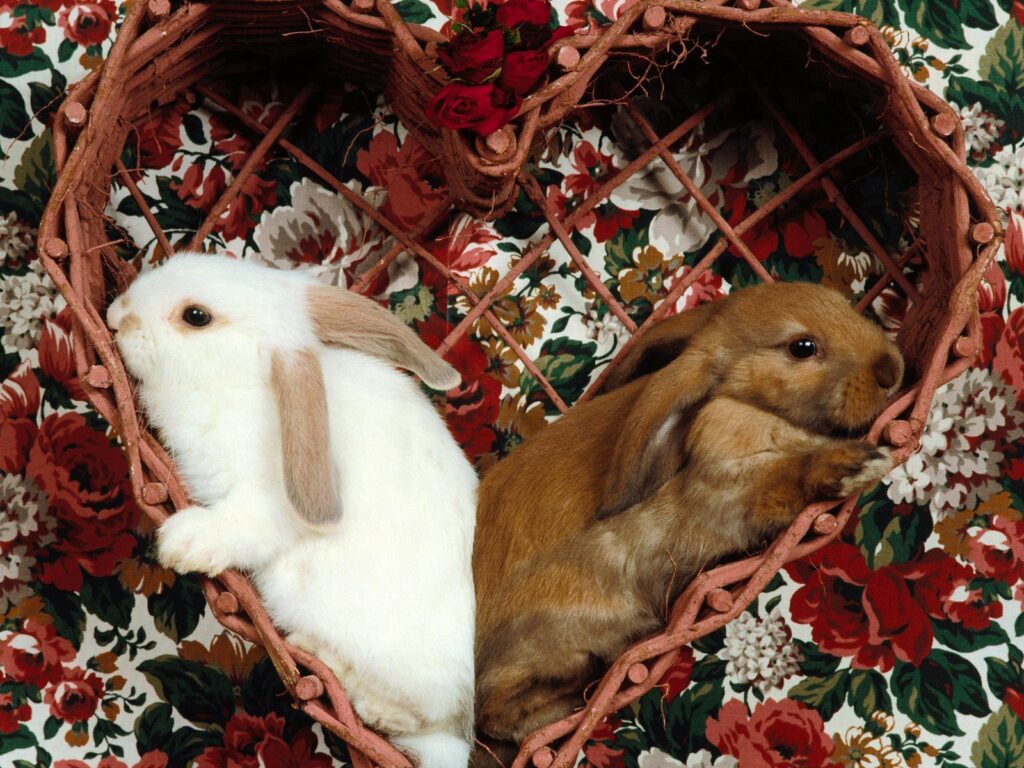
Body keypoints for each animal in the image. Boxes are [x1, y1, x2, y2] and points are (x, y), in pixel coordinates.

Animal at [107, 252, 478, 768]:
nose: (116, 315)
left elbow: (239, 523)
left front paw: (182, 544)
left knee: (412, 718)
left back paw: (362, 699)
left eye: (196, 316)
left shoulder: (265, 501)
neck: (242, 382)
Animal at [472, 281, 903, 747]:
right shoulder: (734, 493)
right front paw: (857, 464)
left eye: (841, 302)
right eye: (802, 347)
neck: (742, 405)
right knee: (494, 715)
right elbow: (787, 476)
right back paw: (570, 703)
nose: (891, 370)